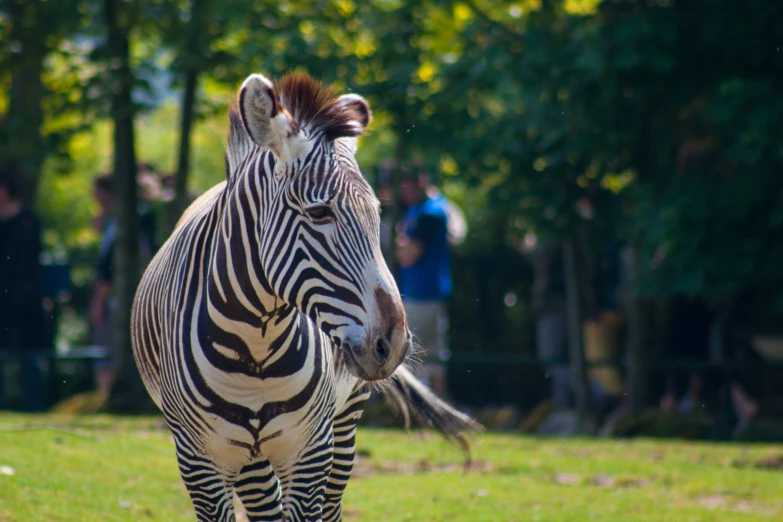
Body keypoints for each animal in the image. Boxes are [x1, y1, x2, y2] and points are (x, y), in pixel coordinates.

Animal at [130, 72, 478, 520]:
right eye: (319, 213)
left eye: (378, 214)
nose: (395, 343)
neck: (255, 348)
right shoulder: (198, 461)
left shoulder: (310, 451)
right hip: (251, 456)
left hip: (343, 423)